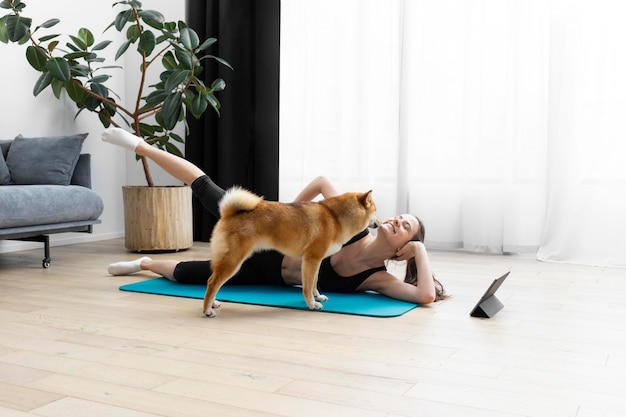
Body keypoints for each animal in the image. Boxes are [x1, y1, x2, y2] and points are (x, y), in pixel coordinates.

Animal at [202, 186, 378, 316]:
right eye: (375, 211)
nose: (379, 222)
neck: (334, 217)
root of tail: (228, 213)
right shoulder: (311, 259)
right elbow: (307, 286)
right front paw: (312, 304)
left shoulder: (316, 261)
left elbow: (314, 282)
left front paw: (317, 296)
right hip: (233, 261)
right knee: (212, 282)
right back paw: (207, 310)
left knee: (213, 281)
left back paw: (213, 303)